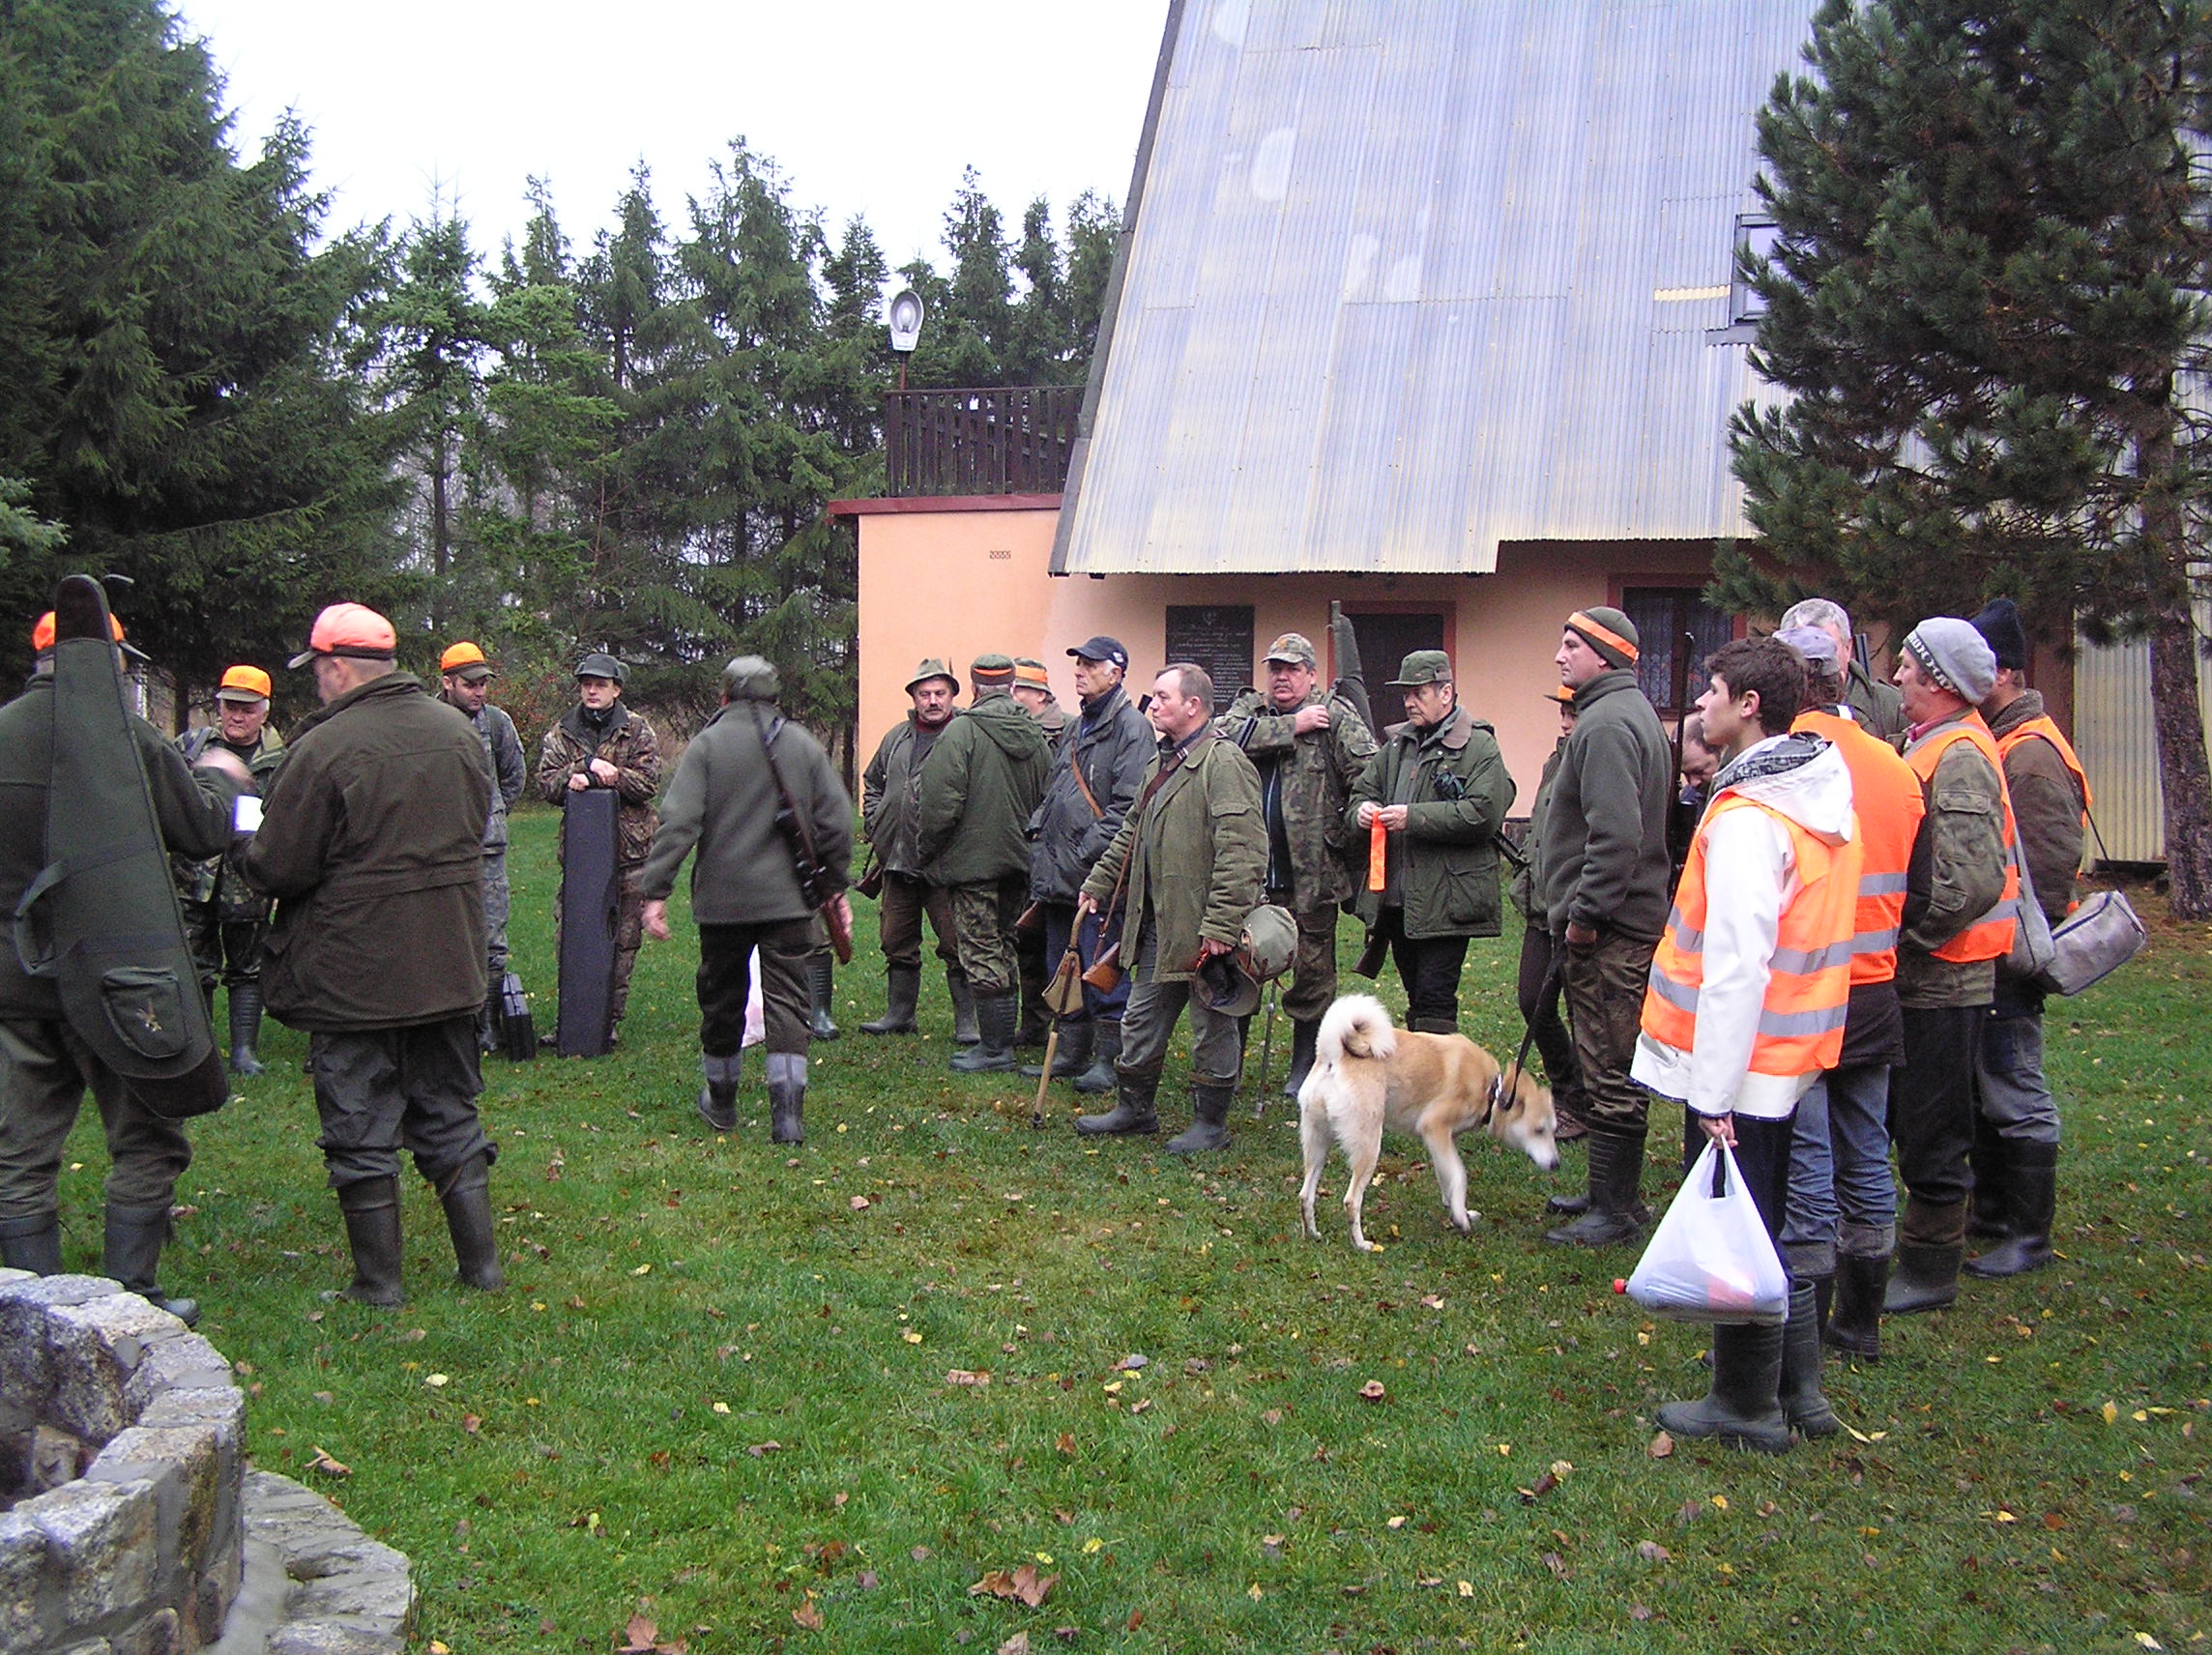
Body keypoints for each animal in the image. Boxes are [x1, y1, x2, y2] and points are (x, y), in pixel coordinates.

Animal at [1292, 995, 1557, 1257]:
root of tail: (1334, 1055)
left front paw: (1456, 1210)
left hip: (1317, 1145)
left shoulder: (1440, 1141)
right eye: (1539, 1130)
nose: (1556, 1164)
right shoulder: (1434, 1127)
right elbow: (1459, 1175)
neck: (1491, 1090)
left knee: (1306, 1195)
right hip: (1368, 1146)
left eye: (1553, 1130)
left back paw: (1312, 1234)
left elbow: (1447, 1177)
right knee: (1351, 1201)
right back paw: (1361, 1244)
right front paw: (1461, 1218)